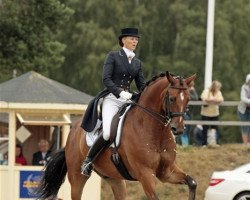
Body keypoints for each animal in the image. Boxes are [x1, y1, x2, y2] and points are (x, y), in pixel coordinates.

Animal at [37, 71, 197, 199]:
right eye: (172, 98)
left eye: (188, 99)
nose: (178, 129)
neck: (155, 132)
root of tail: (74, 128)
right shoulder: (145, 174)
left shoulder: (167, 171)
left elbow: (192, 182)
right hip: (77, 177)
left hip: (114, 178)